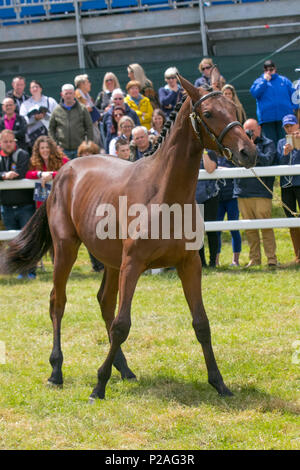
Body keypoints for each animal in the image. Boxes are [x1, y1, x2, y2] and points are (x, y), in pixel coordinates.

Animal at [1, 71, 256, 402]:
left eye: (234, 109)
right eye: (209, 113)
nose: (248, 152)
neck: (164, 193)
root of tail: (62, 173)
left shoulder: (189, 264)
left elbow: (201, 323)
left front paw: (219, 383)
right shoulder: (133, 264)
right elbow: (123, 325)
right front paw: (98, 386)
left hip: (111, 261)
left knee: (104, 302)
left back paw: (123, 369)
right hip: (66, 249)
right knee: (59, 302)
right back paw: (56, 372)